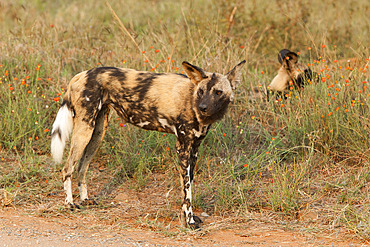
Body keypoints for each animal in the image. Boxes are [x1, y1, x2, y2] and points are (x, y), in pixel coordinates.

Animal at [49, 59, 246, 228]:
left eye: (218, 92)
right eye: (201, 91)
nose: (203, 107)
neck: (192, 99)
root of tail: (82, 74)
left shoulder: (194, 148)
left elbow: (189, 185)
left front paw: (190, 216)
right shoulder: (183, 148)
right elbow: (187, 190)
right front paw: (189, 221)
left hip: (96, 133)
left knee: (82, 167)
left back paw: (85, 199)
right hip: (84, 131)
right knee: (67, 168)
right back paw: (70, 203)